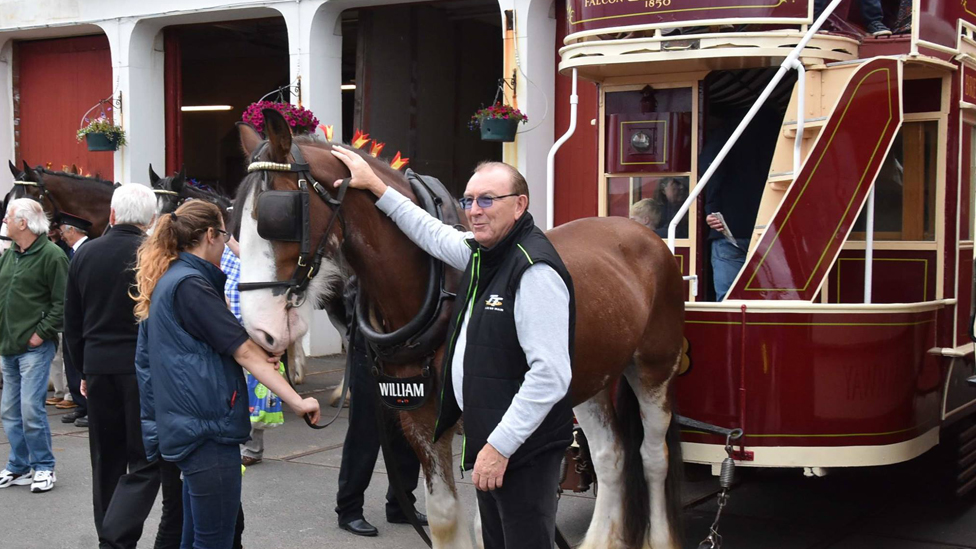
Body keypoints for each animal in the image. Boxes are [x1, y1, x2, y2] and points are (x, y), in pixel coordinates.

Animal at [234, 112, 688, 548]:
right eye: (236, 220)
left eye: (276, 216)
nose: (258, 330)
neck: (439, 286)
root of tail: (642, 233)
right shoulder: (420, 422)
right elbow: (446, 517)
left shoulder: (488, 433)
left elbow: (489, 523)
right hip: (590, 378)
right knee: (612, 454)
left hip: (654, 368)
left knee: (654, 456)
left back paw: (660, 538)